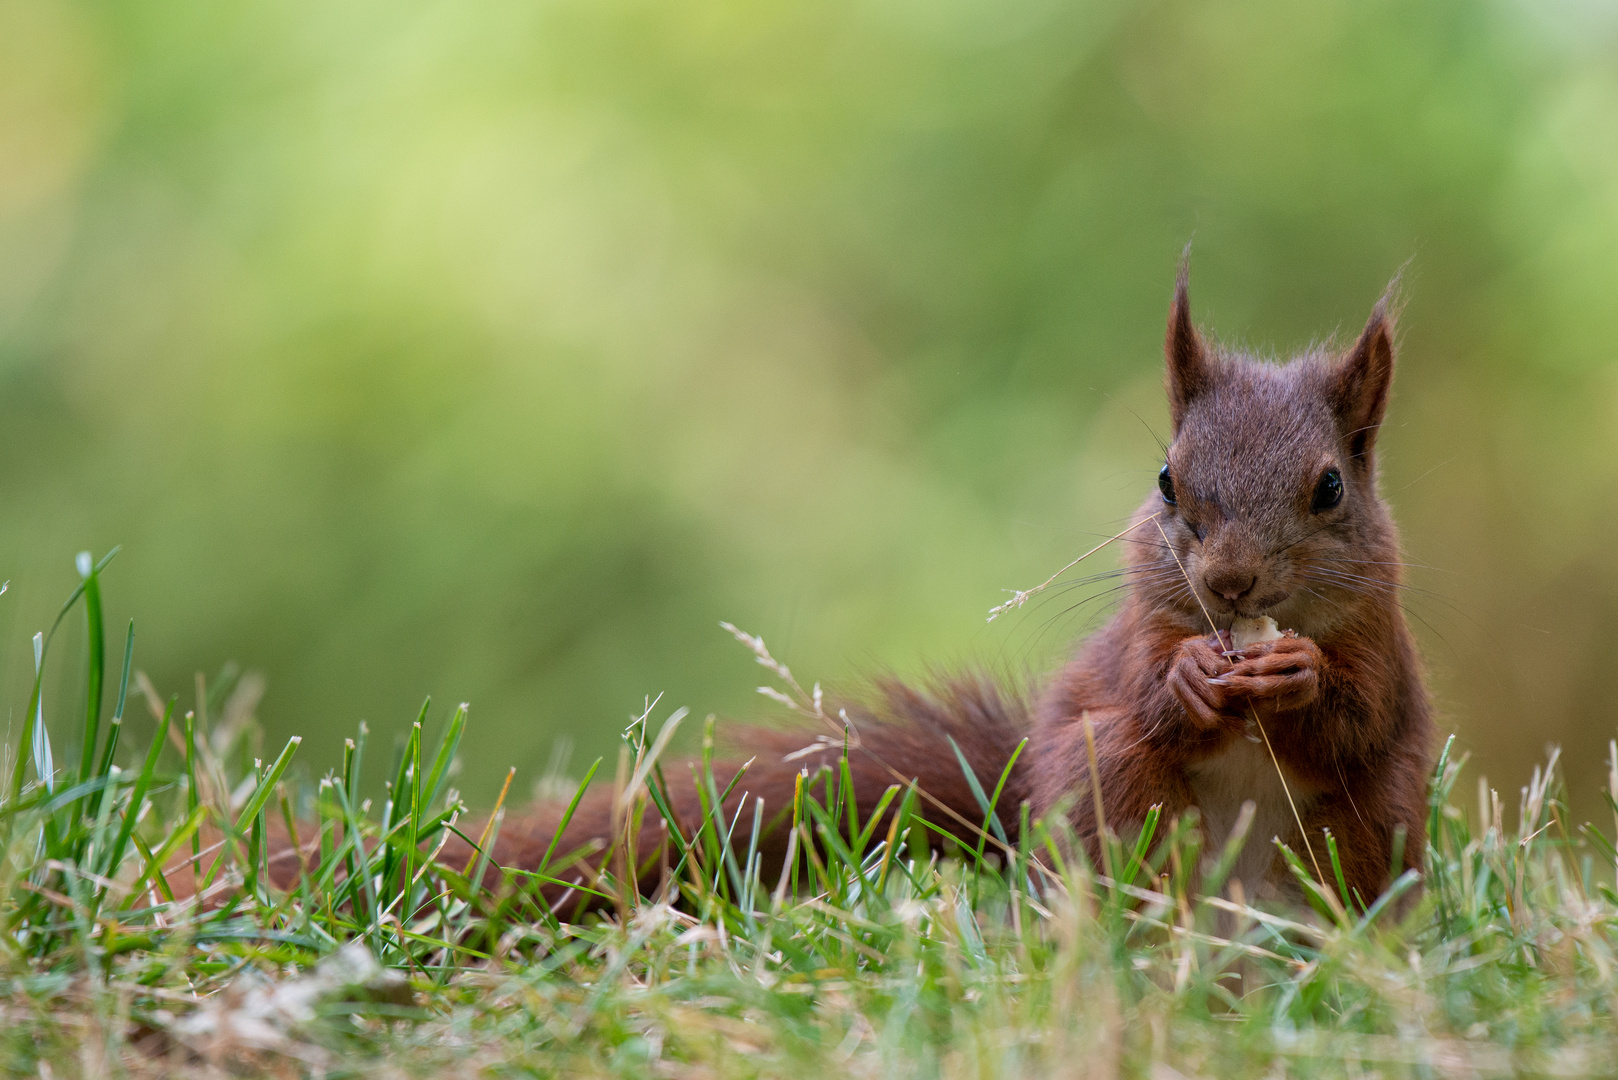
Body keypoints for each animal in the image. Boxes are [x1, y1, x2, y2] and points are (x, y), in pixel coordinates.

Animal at [472, 263, 1436, 913]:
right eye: (1166, 480)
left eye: (1330, 488)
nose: (1230, 584)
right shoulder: (1137, 634)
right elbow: (1141, 688)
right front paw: (1190, 680)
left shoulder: (1382, 646)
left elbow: (1358, 718)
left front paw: (1299, 678)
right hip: (1107, 779)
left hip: (1371, 819)